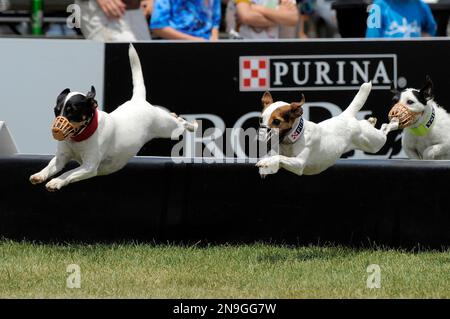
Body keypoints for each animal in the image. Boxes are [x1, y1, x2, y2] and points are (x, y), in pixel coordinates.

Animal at [29, 43, 196, 191]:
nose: (56, 130)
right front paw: (39, 175)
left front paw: (56, 181)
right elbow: (51, 166)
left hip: (167, 128)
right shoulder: (61, 157)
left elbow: (68, 173)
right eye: (56, 111)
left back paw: (193, 125)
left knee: (180, 122)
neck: (80, 136)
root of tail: (138, 100)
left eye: (72, 111)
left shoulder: (89, 167)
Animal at [256, 82, 398, 178]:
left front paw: (265, 161)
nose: (260, 137)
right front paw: (266, 165)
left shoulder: (299, 164)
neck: (294, 137)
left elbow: (279, 157)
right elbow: (276, 158)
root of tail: (345, 116)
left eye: (276, 121)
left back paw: (394, 122)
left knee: (385, 129)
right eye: (260, 119)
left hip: (375, 143)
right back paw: (371, 121)